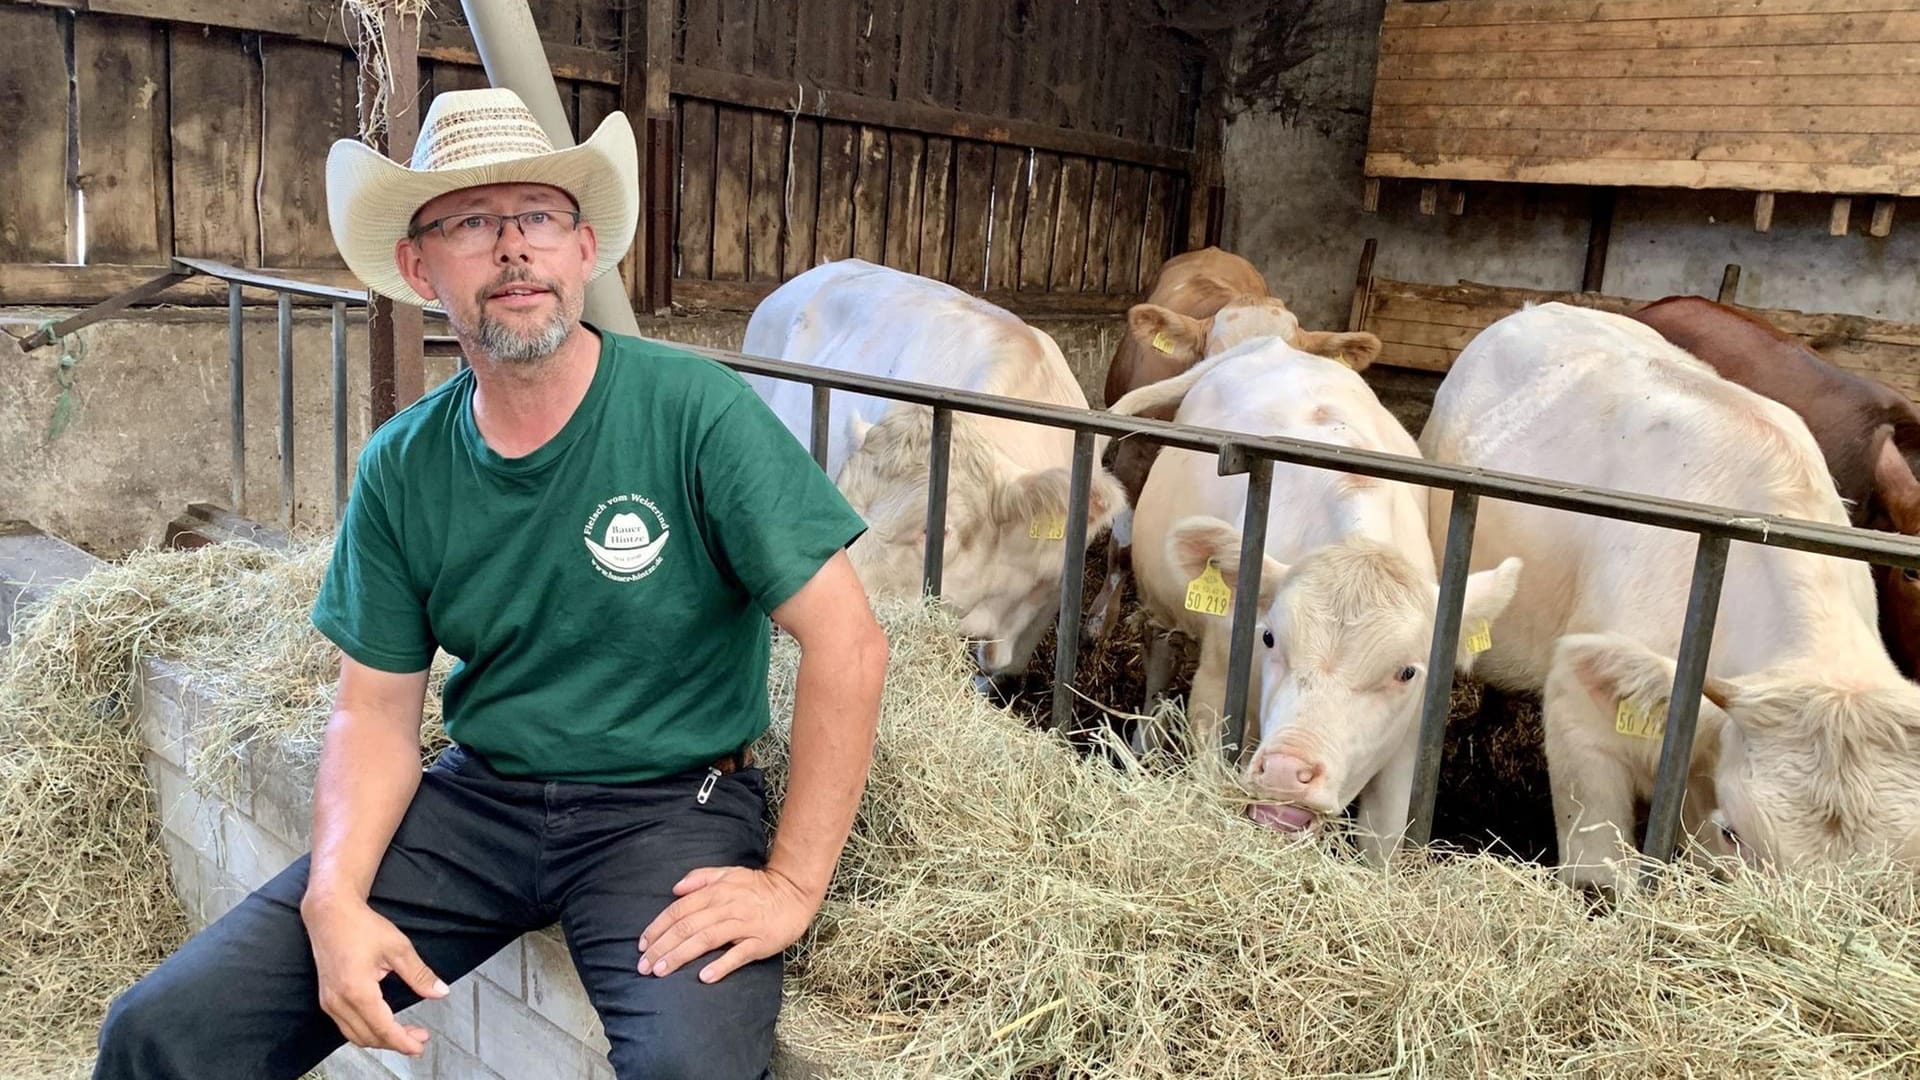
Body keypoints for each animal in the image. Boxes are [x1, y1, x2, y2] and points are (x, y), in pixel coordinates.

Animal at [1121, 336, 1520, 857]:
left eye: (1406, 672)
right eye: (1269, 638)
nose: (1288, 770)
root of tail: (1275, 344)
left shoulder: (1409, 741)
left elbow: (1382, 840)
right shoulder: (1214, 687)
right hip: (1161, 607)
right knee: (1159, 657)